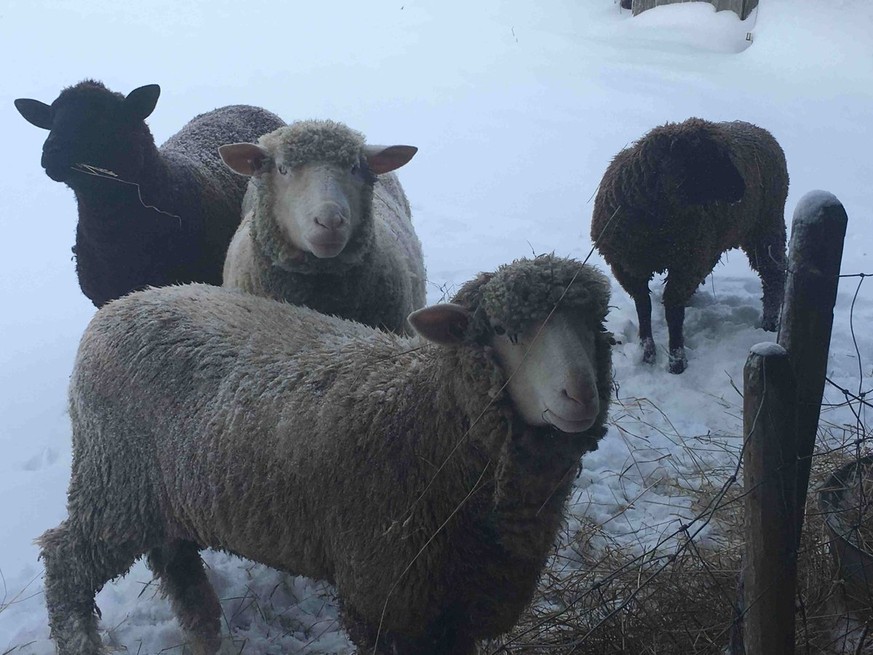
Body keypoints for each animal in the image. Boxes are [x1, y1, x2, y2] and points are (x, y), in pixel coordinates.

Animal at [588, 118, 788, 374]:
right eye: (704, 157)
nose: (741, 189)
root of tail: (761, 130)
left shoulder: (684, 264)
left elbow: (673, 310)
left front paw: (676, 360)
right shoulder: (628, 267)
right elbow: (644, 307)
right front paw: (647, 352)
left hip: (765, 226)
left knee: (774, 274)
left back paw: (769, 323)